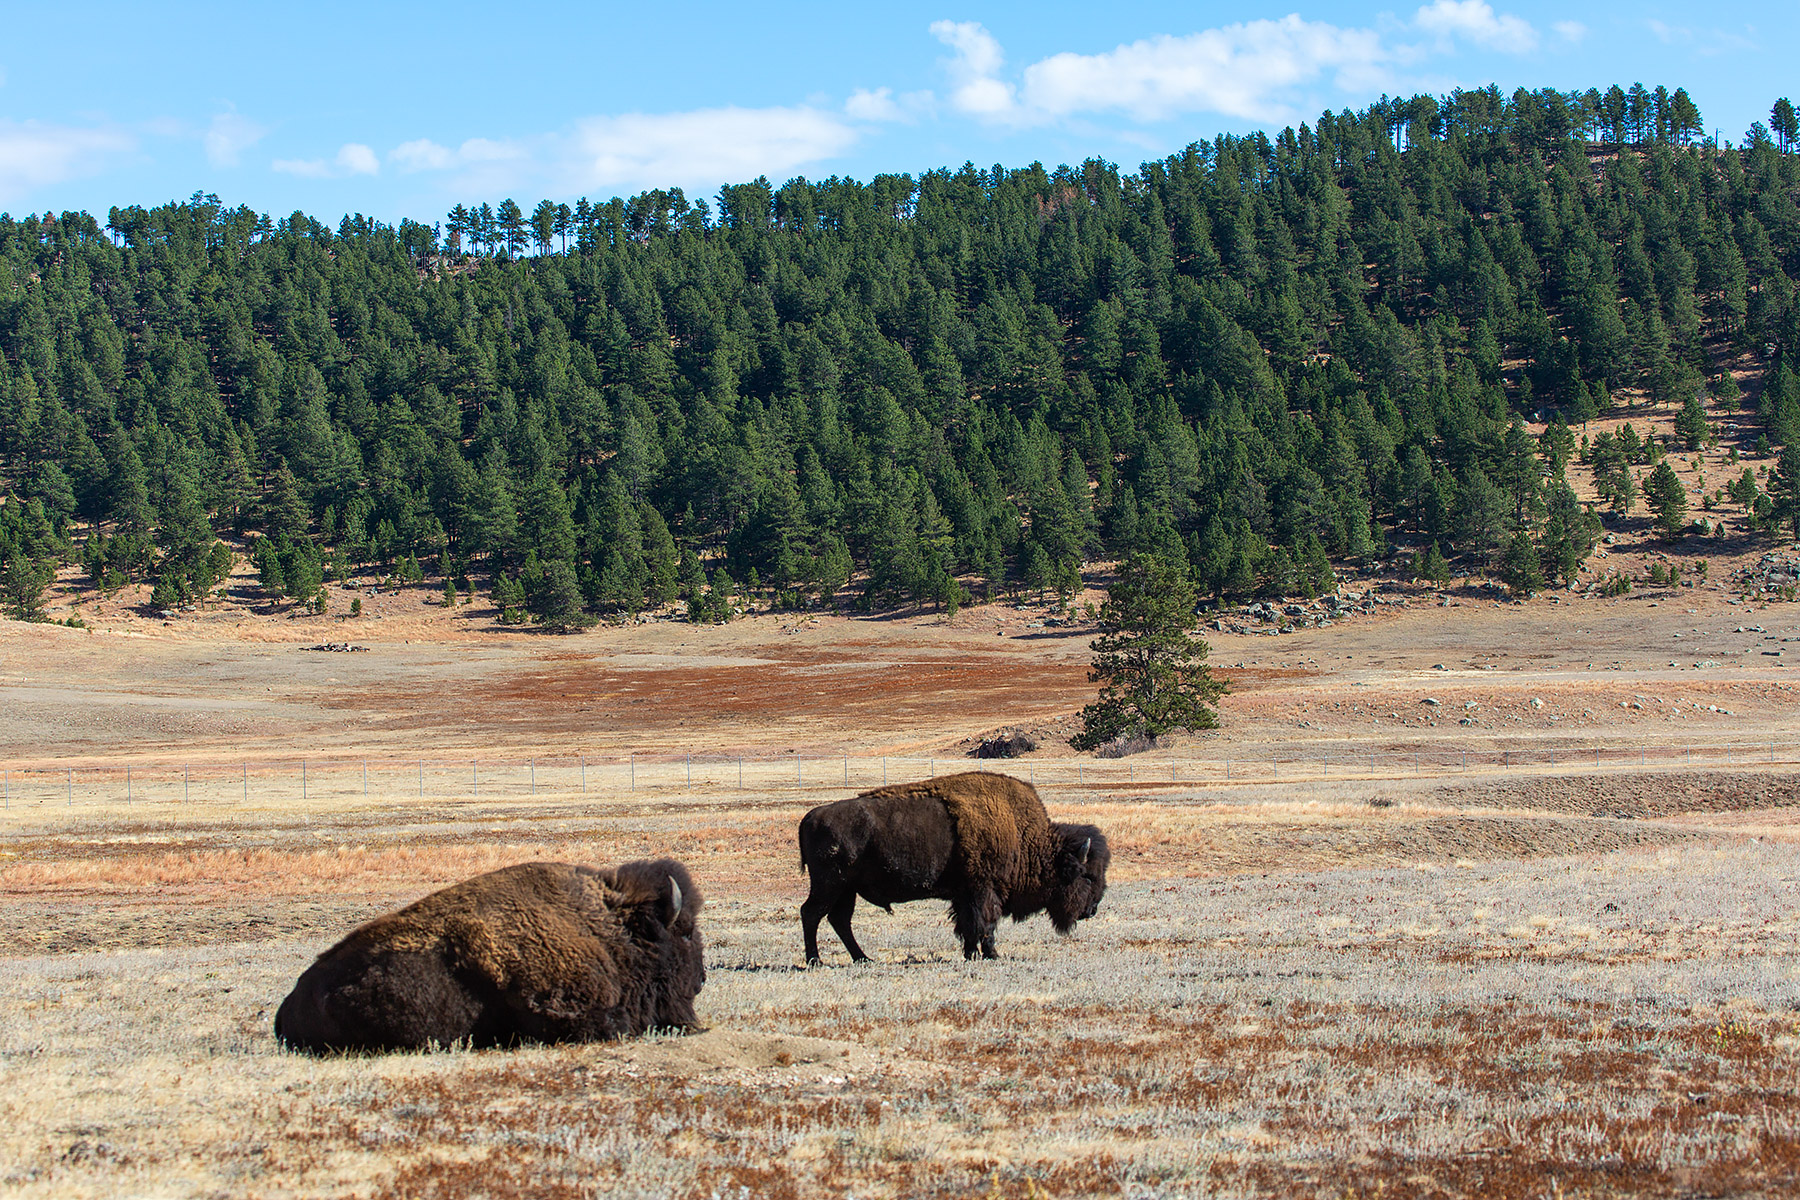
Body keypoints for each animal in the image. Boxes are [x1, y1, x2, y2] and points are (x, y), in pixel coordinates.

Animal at [798, 771, 1109, 964]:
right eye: (1087, 877)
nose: (1091, 910)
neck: (1023, 835)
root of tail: (809, 818)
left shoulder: (964, 894)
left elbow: (968, 924)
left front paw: (971, 953)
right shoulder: (985, 889)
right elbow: (986, 922)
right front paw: (992, 954)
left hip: (846, 889)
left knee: (839, 920)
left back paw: (863, 958)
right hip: (829, 884)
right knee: (811, 913)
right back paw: (815, 960)